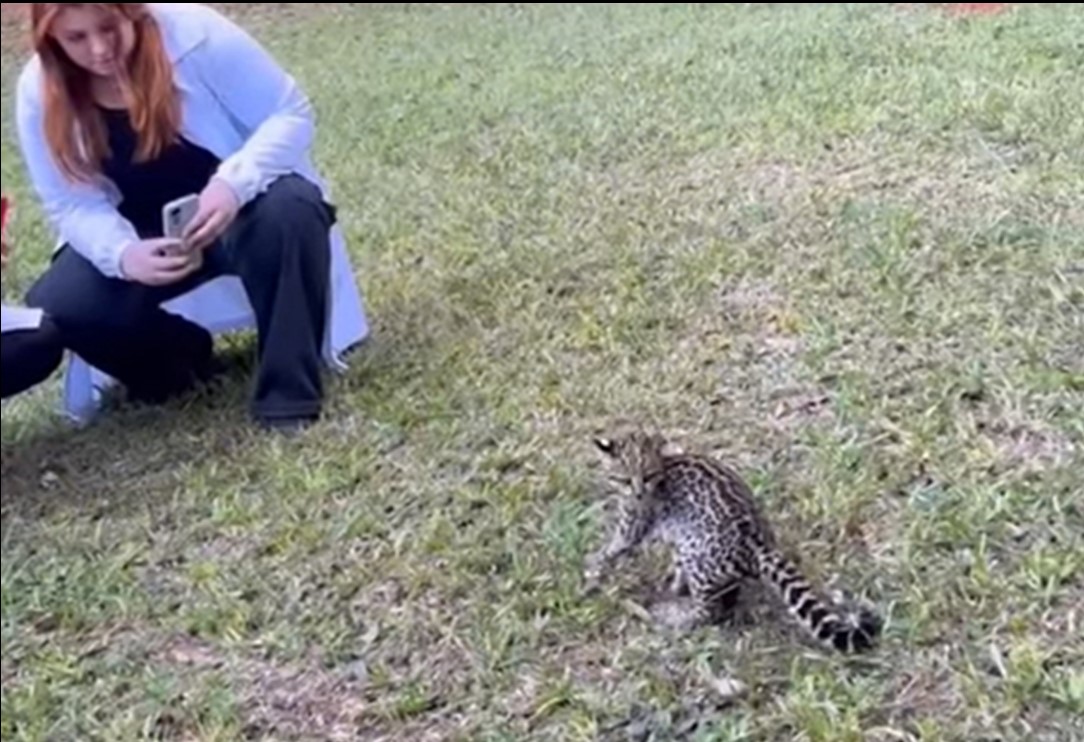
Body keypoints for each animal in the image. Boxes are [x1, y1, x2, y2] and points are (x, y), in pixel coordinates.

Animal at [585, 424, 880, 649]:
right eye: (624, 479)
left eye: (647, 476)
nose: (637, 493)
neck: (665, 466)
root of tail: (757, 542)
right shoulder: (676, 532)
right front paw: (674, 582)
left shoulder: (635, 526)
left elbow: (613, 548)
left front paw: (591, 570)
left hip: (698, 553)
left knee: (709, 611)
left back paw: (677, 618)